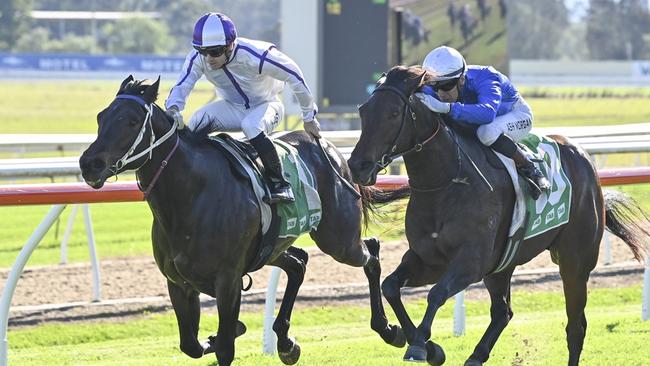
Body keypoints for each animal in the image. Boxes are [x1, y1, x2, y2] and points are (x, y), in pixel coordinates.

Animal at [79, 76, 404, 364]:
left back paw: (388, 329)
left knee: (371, 252)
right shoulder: (179, 282)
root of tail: (331, 149)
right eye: (100, 117)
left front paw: (227, 334)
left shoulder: (228, 279)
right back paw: (285, 342)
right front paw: (222, 335)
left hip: (338, 240)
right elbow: (191, 345)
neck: (190, 197)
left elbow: (224, 347)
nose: (88, 163)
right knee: (298, 263)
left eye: (132, 121)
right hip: (274, 246)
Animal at [346, 66, 644, 366]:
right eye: (363, 110)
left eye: (394, 113)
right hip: (502, 264)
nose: (357, 165)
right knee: (503, 312)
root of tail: (582, 156)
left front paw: (420, 344)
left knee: (575, 326)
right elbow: (391, 286)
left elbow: (436, 293)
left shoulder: (470, 262)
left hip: (575, 262)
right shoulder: (429, 259)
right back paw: (475, 356)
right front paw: (426, 346)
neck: (447, 181)